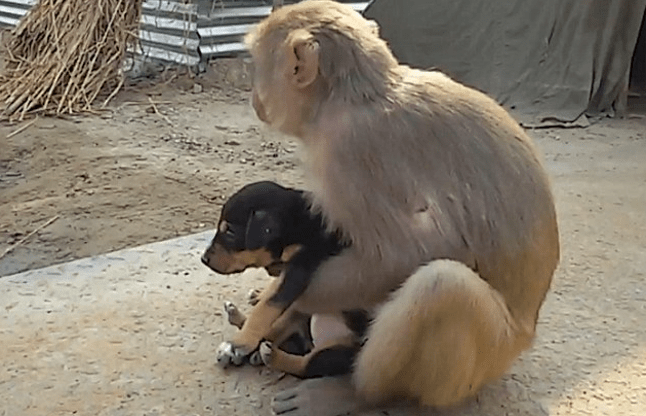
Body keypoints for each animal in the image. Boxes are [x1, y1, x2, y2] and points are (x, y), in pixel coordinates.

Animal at [201, 180, 370, 378]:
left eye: (230, 232)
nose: (203, 259)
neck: (296, 221)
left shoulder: (301, 264)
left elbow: (267, 305)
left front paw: (240, 342)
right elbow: (270, 296)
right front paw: (259, 296)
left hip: (346, 349)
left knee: (307, 365)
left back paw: (267, 353)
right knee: (280, 330)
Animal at [240, 1, 560, 415]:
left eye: (258, 68)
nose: (254, 97)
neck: (350, 97)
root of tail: (526, 334)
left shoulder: (351, 150)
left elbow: (405, 253)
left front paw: (279, 300)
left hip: (489, 357)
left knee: (443, 286)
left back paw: (351, 392)